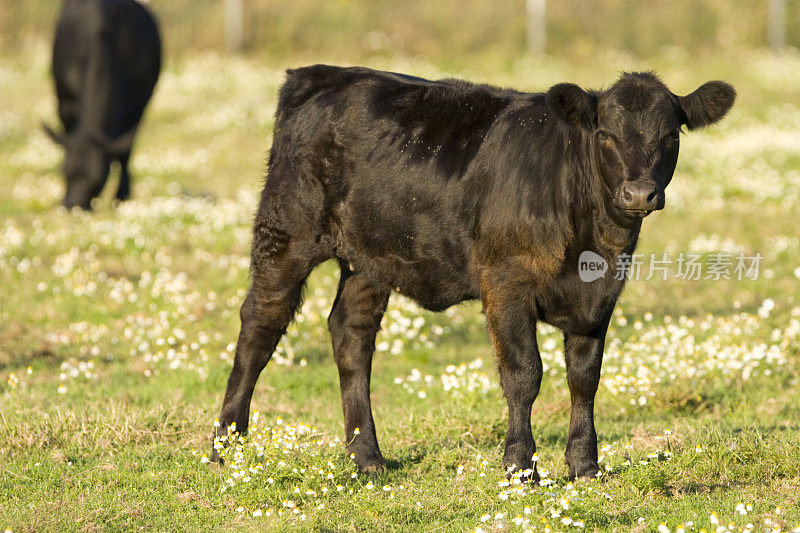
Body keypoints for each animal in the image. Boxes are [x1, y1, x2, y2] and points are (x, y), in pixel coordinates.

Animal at [45, 0, 162, 209]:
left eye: (96, 178)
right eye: (65, 171)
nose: (71, 205)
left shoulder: (139, 103)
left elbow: (125, 150)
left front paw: (122, 195)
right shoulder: (64, 100)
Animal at [212, 65, 736, 478]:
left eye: (671, 137)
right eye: (605, 134)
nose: (638, 193)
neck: (592, 241)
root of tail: (318, 73)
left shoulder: (600, 296)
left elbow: (585, 377)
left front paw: (585, 465)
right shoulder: (505, 284)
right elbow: (524, 374)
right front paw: (521, 466)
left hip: (371, 258)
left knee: (351, 336)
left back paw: (367, 457)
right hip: (287, 231)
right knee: (260, 325)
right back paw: (227, 447)